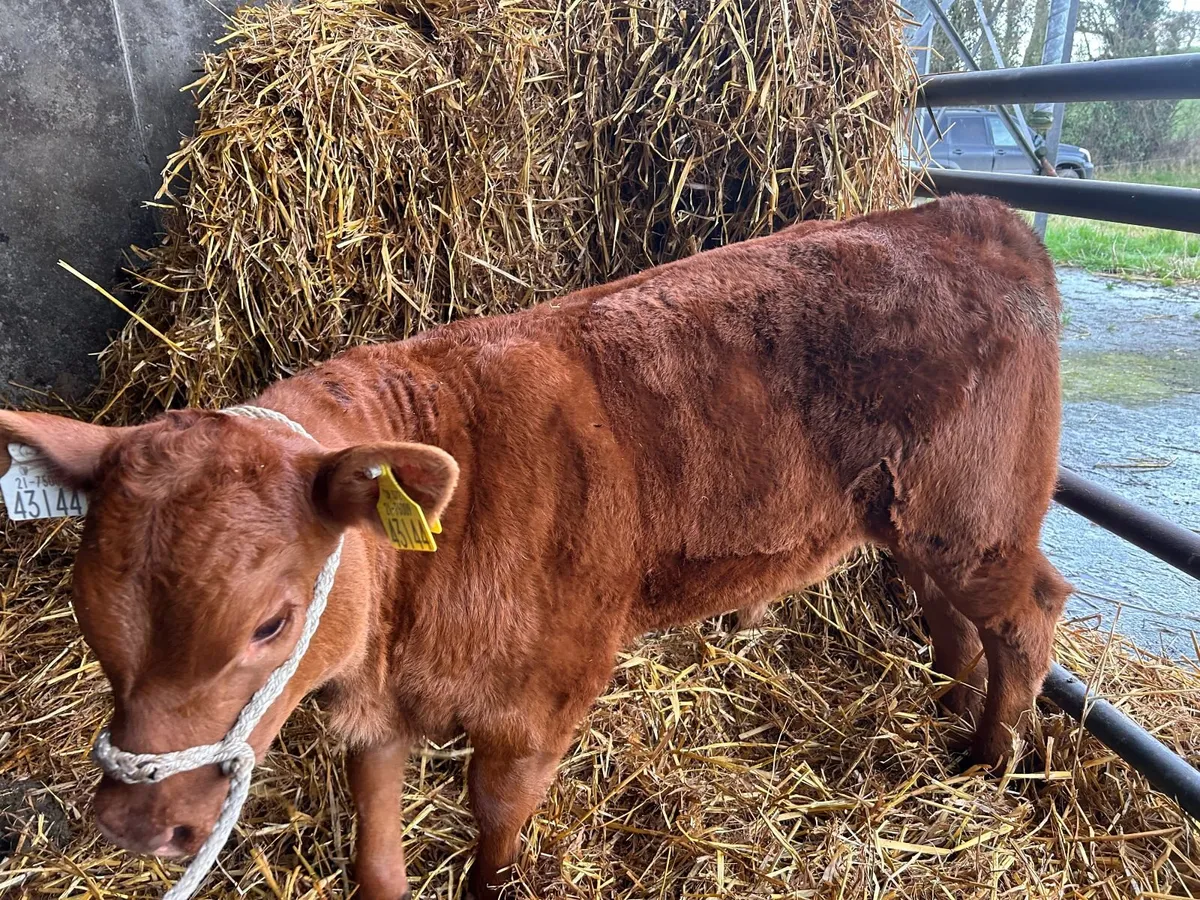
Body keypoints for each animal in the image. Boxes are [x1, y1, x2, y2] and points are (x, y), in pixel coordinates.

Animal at [0, 194, 1071, 900]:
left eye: (272, 622)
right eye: (88, 612)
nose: (135, 824)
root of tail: (967, 213)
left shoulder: (544, 699)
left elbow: (497, 819)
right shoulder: (379, 710)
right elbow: (377, 842)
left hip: (977, 514)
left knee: (1027, 613)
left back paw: (989, 757)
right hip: (917, 521)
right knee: (953, 615)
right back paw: (948, 706)